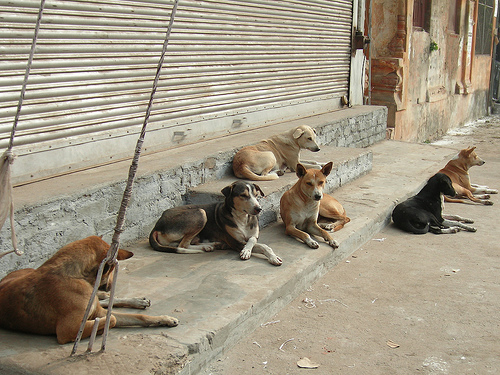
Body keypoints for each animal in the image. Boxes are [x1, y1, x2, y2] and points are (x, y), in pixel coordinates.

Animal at [0, 236, 179, 346]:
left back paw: (136, 300)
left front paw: (164, 319)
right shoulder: (68, 330)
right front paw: (98, 329)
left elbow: (137, 317)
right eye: (112, 269)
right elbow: (113, 318)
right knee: (106, 302)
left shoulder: (97, 310)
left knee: (105, 299)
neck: (75, 275)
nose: (110, 284)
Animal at [148, 181, 284, 266]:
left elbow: (254, 240)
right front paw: (247, 251)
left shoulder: (254, 235)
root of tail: (157, 224)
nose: (259, 209)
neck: (242, 218)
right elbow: (262, 246)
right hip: (200, 212)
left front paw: (271, 256)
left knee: (180, 244)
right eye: (243, 195)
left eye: (256, 195)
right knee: (183, 245)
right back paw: (208, 246)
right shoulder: (236, 242)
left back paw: (212, 245)